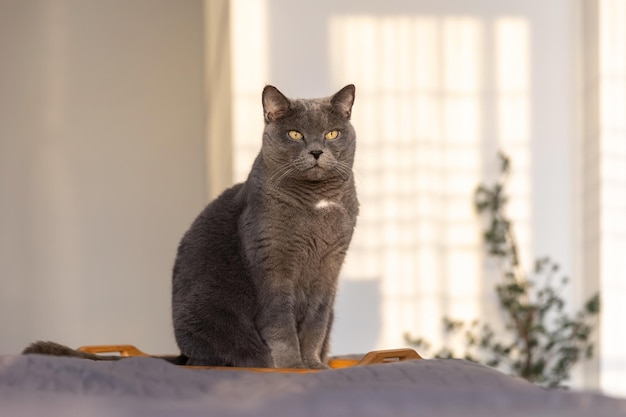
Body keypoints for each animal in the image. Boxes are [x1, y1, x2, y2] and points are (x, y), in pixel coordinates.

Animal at [23, 83, 356, 368]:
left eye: (332, 133)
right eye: (295, 134)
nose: (316, 151)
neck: (317, 204)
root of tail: (181, 355)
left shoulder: (328, 272)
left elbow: (315, 327)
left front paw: (314, 365)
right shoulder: (273, 267)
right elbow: (281, 326)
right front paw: (291, 367)